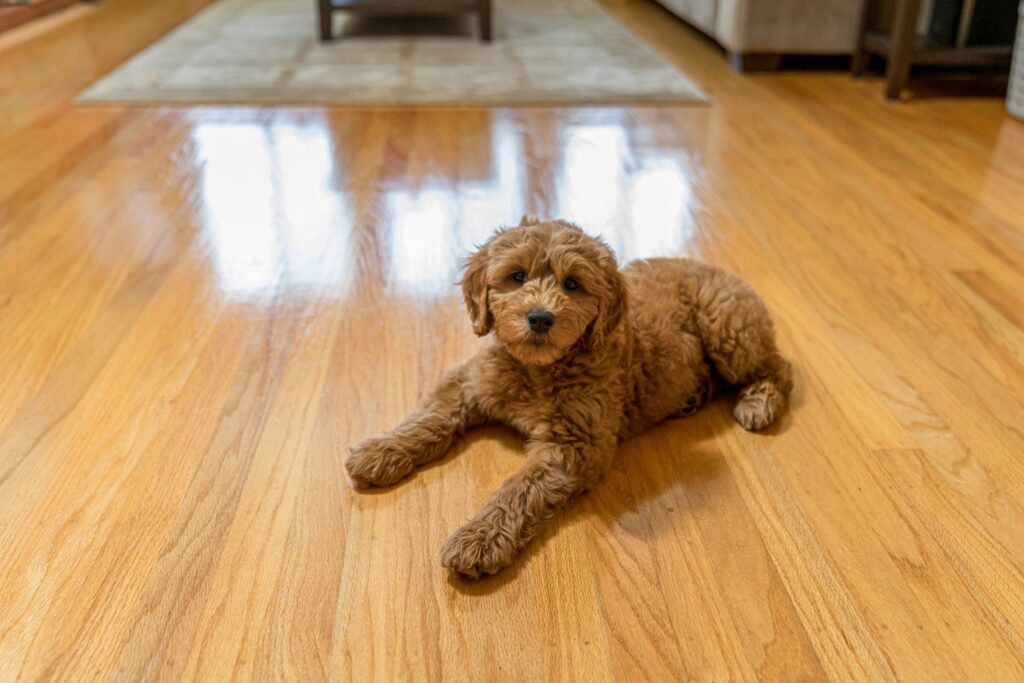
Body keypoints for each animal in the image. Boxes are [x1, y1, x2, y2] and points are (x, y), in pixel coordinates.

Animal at [344, 218, 790, 577]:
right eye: (517, 276)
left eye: (573, 284)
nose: (540, 317)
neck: (537, 369)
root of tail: (717, 269)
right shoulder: (469, 383)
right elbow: (429, 417)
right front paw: (382, 450)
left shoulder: (574, 442)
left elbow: (519, 488)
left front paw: (480, 537)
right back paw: (694, 396)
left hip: (729, 330)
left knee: (779, 367)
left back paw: (759, 402)